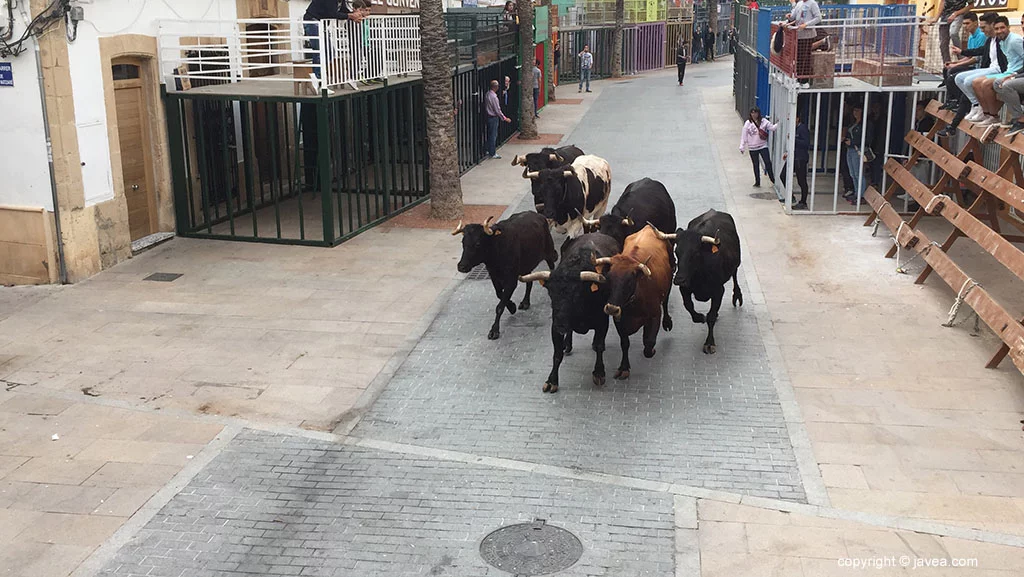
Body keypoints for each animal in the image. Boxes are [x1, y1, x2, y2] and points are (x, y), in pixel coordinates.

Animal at [598, 224, 675, 379]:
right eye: (608, 279)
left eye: (629, 282)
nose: (611, 308)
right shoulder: (619, 320)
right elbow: (625, 343)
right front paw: (624, 367)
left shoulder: (654, 315)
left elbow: (648, 344)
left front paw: (652, 350)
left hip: (669, 283)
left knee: (665, 301)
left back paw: (667, 322)